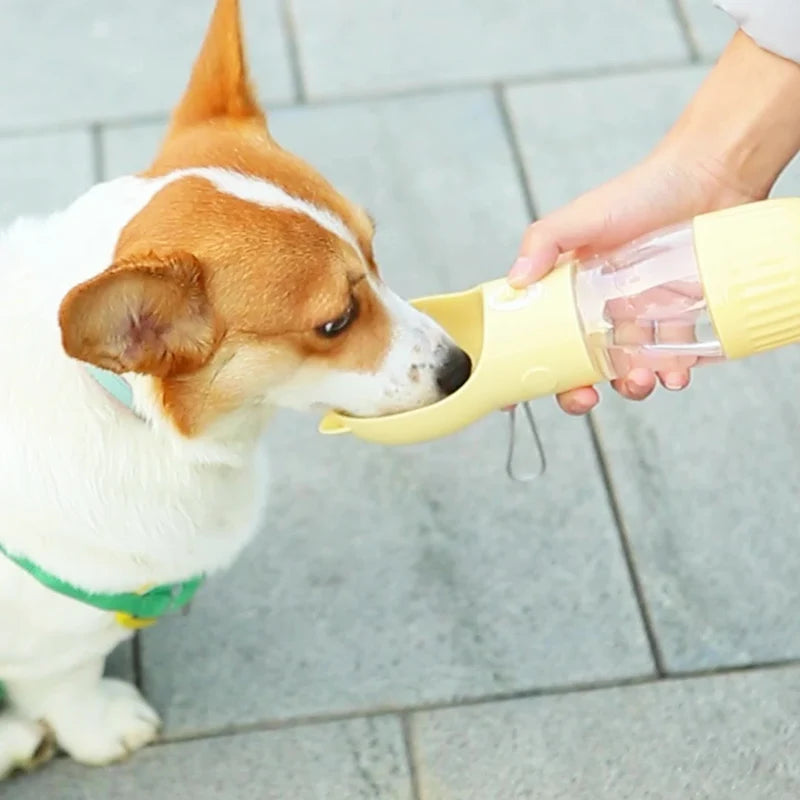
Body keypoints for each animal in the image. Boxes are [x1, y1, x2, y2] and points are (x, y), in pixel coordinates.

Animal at [0, 0, 472, 776]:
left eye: (376, 251)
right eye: (335, 321)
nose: (460, 367)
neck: (138, 413)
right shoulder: (52, 642)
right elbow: (70, 683)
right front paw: (103, 728)